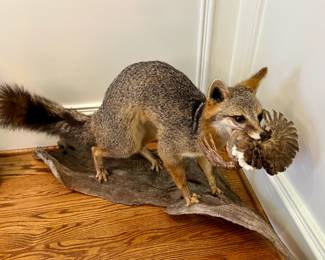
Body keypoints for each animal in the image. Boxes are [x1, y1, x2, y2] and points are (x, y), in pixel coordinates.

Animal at [0, 60, 266, 205]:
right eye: (239, 118)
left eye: (260, 115)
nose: (264, 135)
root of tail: (101, 111)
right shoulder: (170, 149)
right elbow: (180, 178)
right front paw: (188, 196)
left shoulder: (201, 155)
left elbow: (210, 173)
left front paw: (214, 187)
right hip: (124, 142)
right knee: (97, 148)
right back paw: (100, 167)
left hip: (148, 132)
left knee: (140, 147)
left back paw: (149, 158)